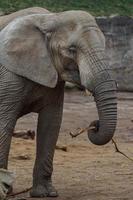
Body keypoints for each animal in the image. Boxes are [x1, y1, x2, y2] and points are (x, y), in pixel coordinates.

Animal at [0, 7, 117, 199]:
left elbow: (51, 123)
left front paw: (45, 193)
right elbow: (4, 123)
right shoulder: (9, 76)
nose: (95, 125)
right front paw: (3, 190)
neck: (50, 18)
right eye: (71, 49)